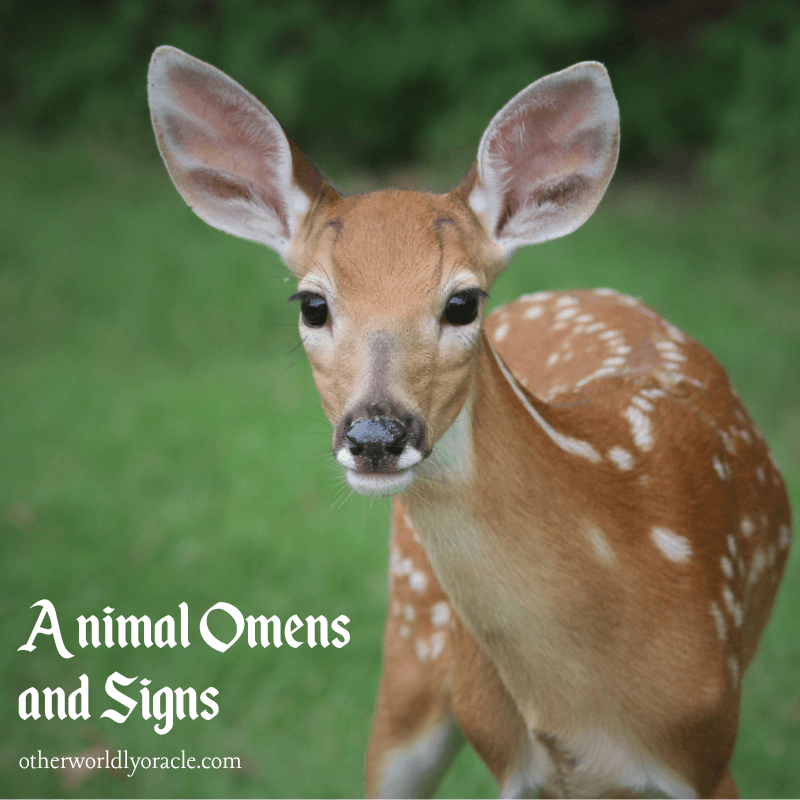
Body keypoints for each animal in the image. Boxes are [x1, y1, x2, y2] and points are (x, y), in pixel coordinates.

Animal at [147, 46, 792, 798]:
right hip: (412, 646)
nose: (375, 436)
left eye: (462, 302)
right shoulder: (511, 760)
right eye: (312, 303)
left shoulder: (707, 750)